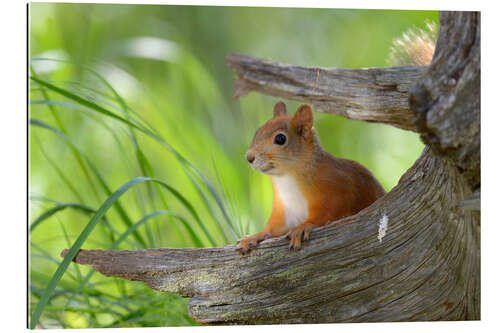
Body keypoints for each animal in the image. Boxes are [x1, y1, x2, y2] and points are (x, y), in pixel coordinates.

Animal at [237, 102, 386, 253]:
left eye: (280, 139)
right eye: (257, 131)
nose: (249, 157)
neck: (286, 178)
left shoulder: (336, 190)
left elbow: (328, 212)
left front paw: (303, 226)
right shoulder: (285, 210)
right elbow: (274, 228)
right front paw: (254, 236)